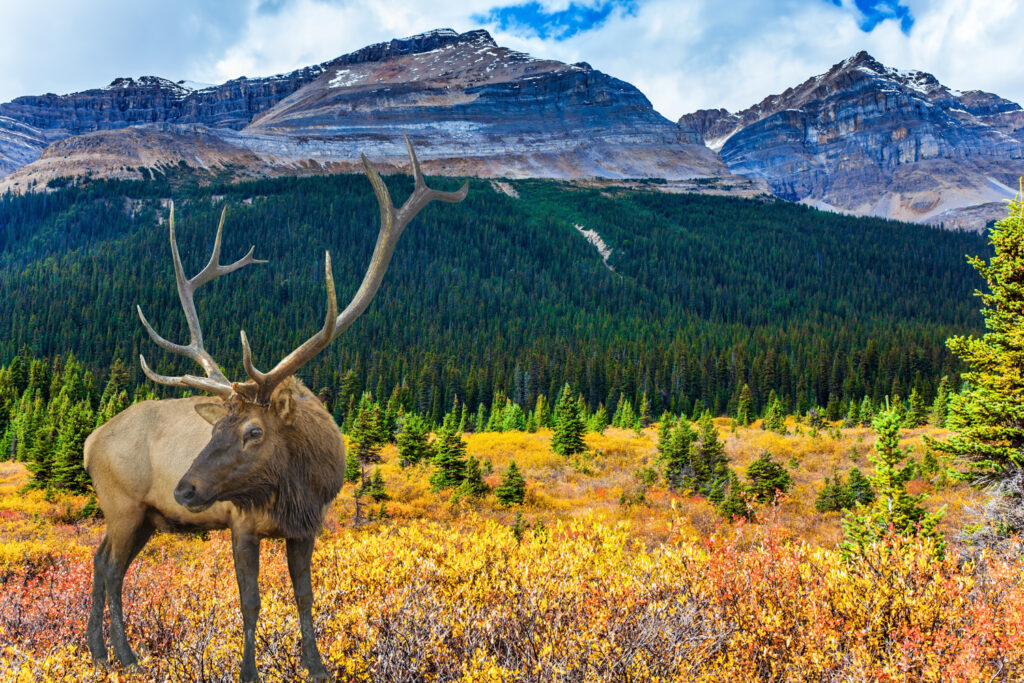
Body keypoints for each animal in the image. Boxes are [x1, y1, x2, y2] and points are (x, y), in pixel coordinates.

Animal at [83, 136, 468, 679]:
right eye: (215, 428)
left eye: (253, 431)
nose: (185, 487)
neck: (295, 486)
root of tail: (88, 442)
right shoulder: (240, 521)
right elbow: (251, 602)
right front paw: (248, 670)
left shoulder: (307, 527)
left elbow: (305, 595)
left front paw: (317, 665)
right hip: (124, 504)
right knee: (114, 569)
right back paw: (125, 655)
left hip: (141, 517)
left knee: (99, 562)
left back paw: (96, 649)